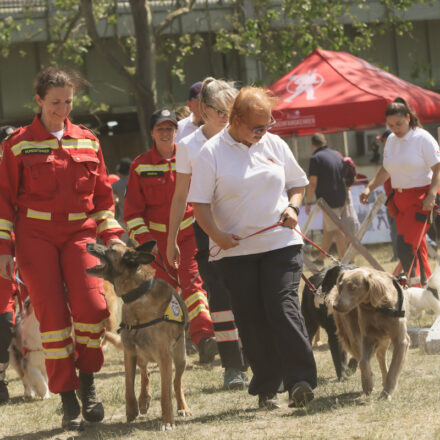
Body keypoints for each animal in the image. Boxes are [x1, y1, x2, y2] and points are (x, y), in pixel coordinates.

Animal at [85, 241, 190, 430]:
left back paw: (182, 407)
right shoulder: (130, 353)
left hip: (180, 358)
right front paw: (132, 410)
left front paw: (167, 421)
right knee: (145, 372)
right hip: (143, 354)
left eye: (111, 248)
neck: (136, 296)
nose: (88, 243)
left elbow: (165, 394)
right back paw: (143, 399)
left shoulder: (165, 358)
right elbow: (129, 385)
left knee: (177, 382)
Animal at [324, 266, 410, 400]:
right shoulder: (367, 337)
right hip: (354, 336)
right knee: (362, 358)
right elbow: (364, 362)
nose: (336, 306)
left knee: (381, 359)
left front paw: (386, 392)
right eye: (340, 286)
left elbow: (393, 369)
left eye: (353, 288)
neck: (376, 308)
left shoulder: (401, 340)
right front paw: (368, 385)